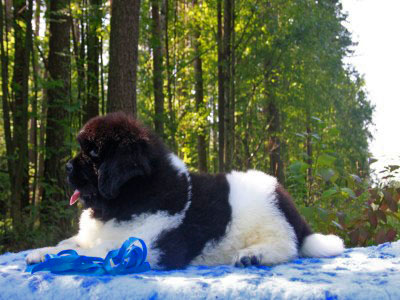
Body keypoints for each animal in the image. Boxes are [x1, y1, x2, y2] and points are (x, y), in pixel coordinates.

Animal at [25, 112, 344, 270]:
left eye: (93, 153)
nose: (67, 166)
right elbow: (71, 244)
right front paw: (44, 252)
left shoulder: (149, 246)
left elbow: (95, 251)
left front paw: (46, 256)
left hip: (269, 217)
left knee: (288, 246)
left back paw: (255, 255)